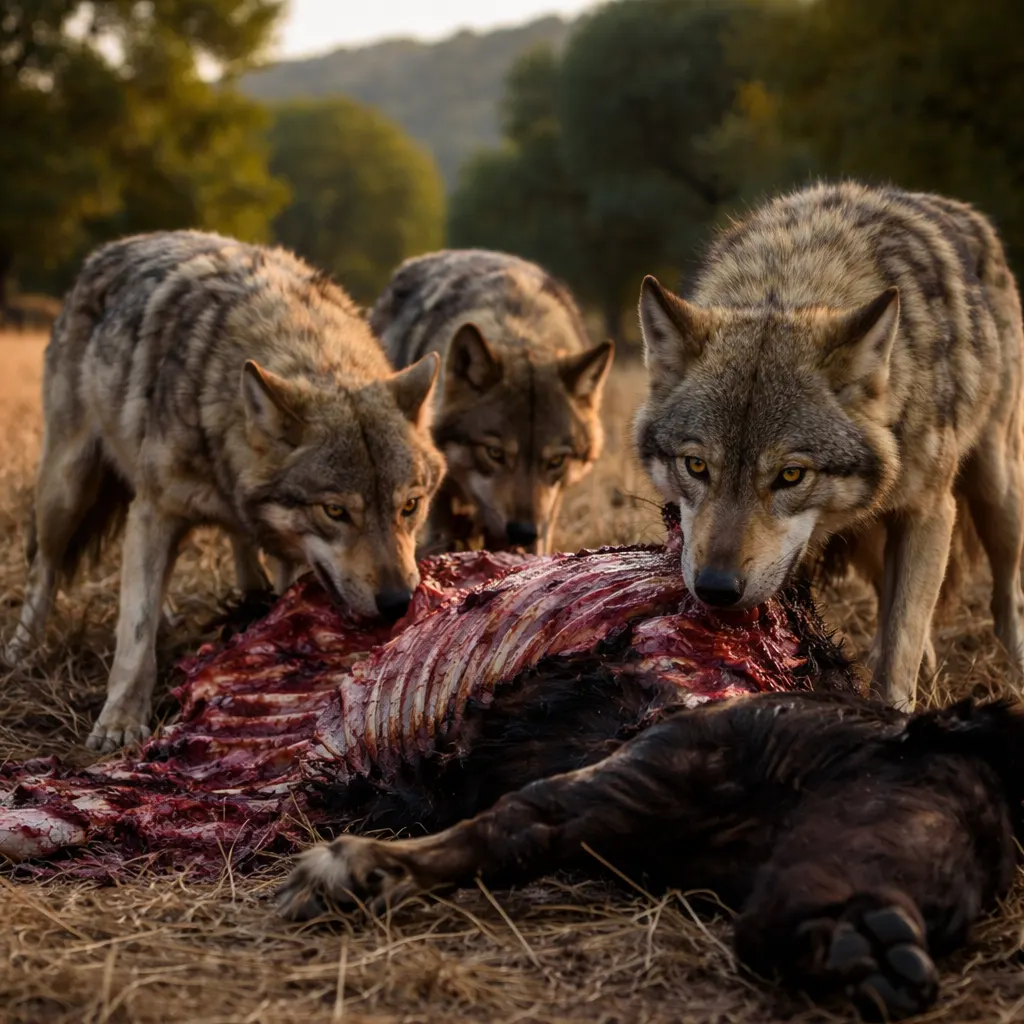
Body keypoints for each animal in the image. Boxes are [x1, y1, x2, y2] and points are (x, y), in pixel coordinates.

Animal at [4, 231, 445, 752]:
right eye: (335, 511)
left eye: (410, 506)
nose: (399, 602)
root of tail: (109, 249)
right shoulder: (155, 512)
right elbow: (135, 633)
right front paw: (119, 721)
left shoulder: (283, 550)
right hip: (67, 489)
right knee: (45, 567)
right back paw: (22, 648)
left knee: (235, 552)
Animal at [633, 181, 1024, 708]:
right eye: (696, 466)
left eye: (790, 475)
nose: (715, 588)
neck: (790, 282)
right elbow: (897, 623)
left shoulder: (930, 510)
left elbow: (903, 638)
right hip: (876, 531)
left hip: (995, 489)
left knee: (1005, 590)